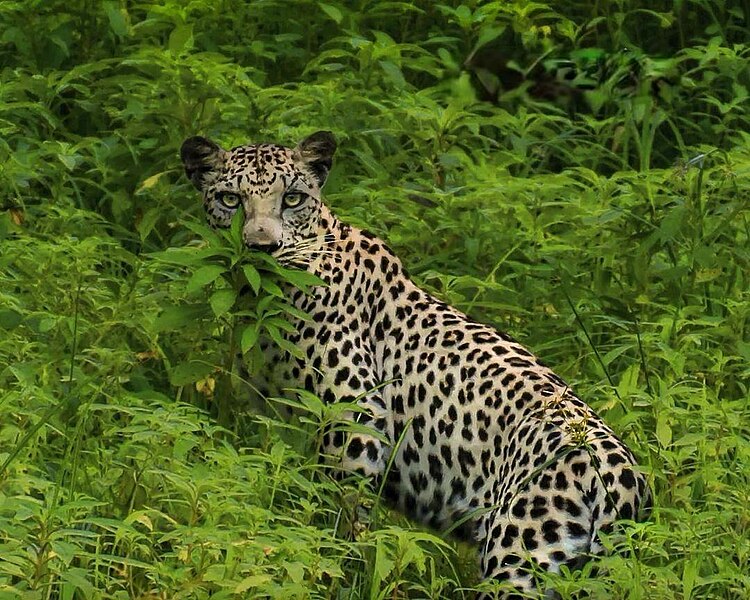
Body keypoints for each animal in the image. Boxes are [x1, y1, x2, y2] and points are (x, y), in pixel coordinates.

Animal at [181, 130, 652, 596]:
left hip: (517, 562)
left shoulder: (357, 425)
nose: (261, 248)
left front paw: (339, 570)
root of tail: (625, 484)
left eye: (292, 198)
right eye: (230, 199)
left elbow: (346, 523)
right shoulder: (277, 420)